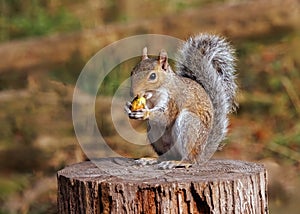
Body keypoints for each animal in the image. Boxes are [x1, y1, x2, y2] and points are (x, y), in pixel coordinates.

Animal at [124, 33, 237, 167]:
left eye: (153, 76)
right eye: (132, 71)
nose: (133, 93)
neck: (154, 95)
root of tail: (201, 155)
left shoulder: (173, 100)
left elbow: (166, 117)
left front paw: (145, 112)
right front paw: (128, 106)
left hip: (188, 125)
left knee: (190, 158)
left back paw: (178, 162)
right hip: (154, 133)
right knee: (165, 155)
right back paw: (152, 159)